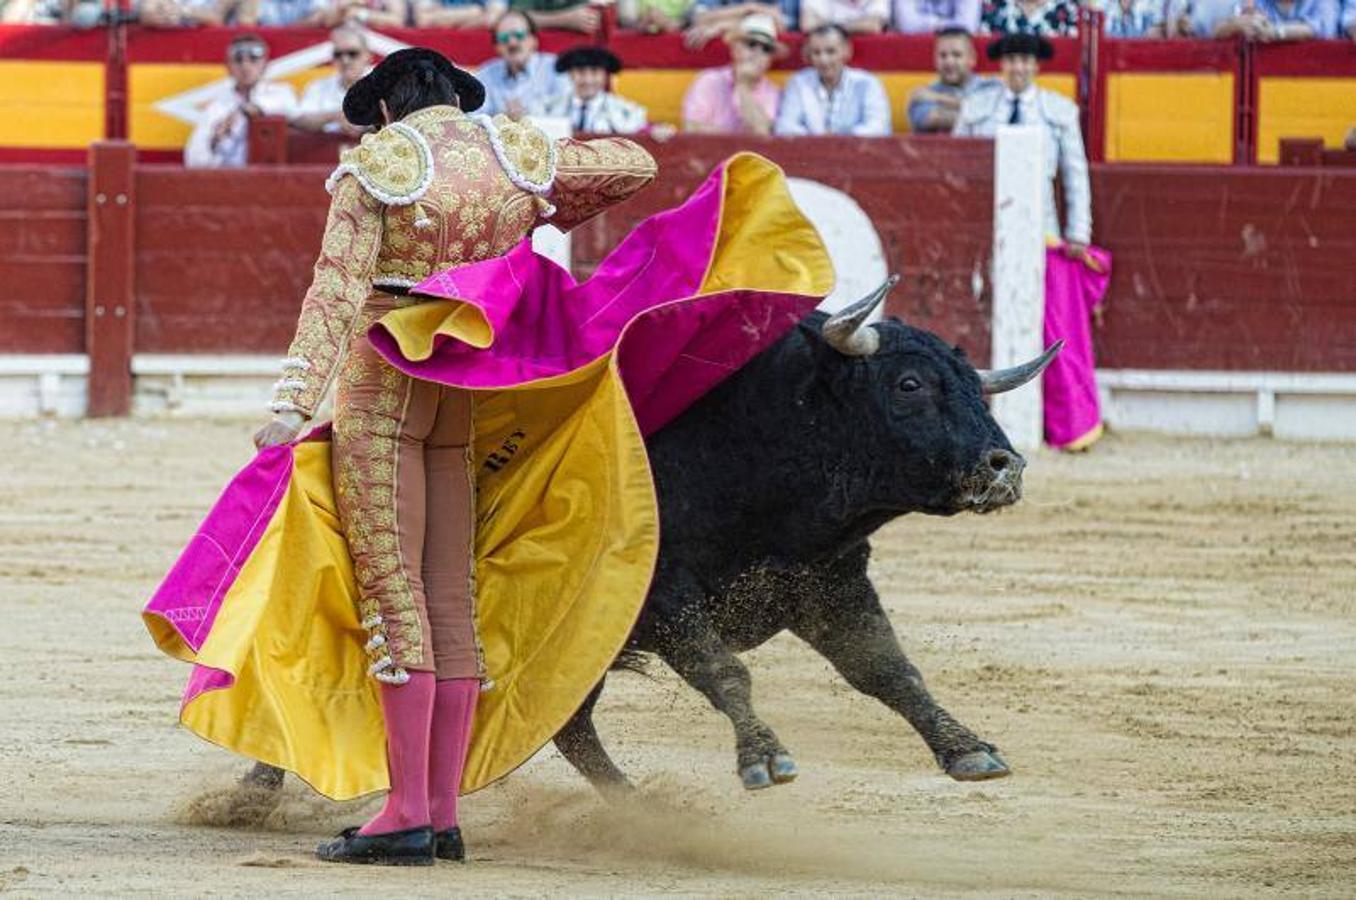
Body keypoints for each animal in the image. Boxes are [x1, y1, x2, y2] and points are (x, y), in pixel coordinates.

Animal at [244, 279, 1057, 796]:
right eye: (910, 384)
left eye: (975, 386)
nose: (1004, 467)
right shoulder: (663, 599)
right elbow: (726, 671)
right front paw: (766, 761)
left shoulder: (827, 584)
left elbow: (889, 671)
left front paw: (969, 751)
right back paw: (259, 785)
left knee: (569, 727)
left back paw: (632, 807)